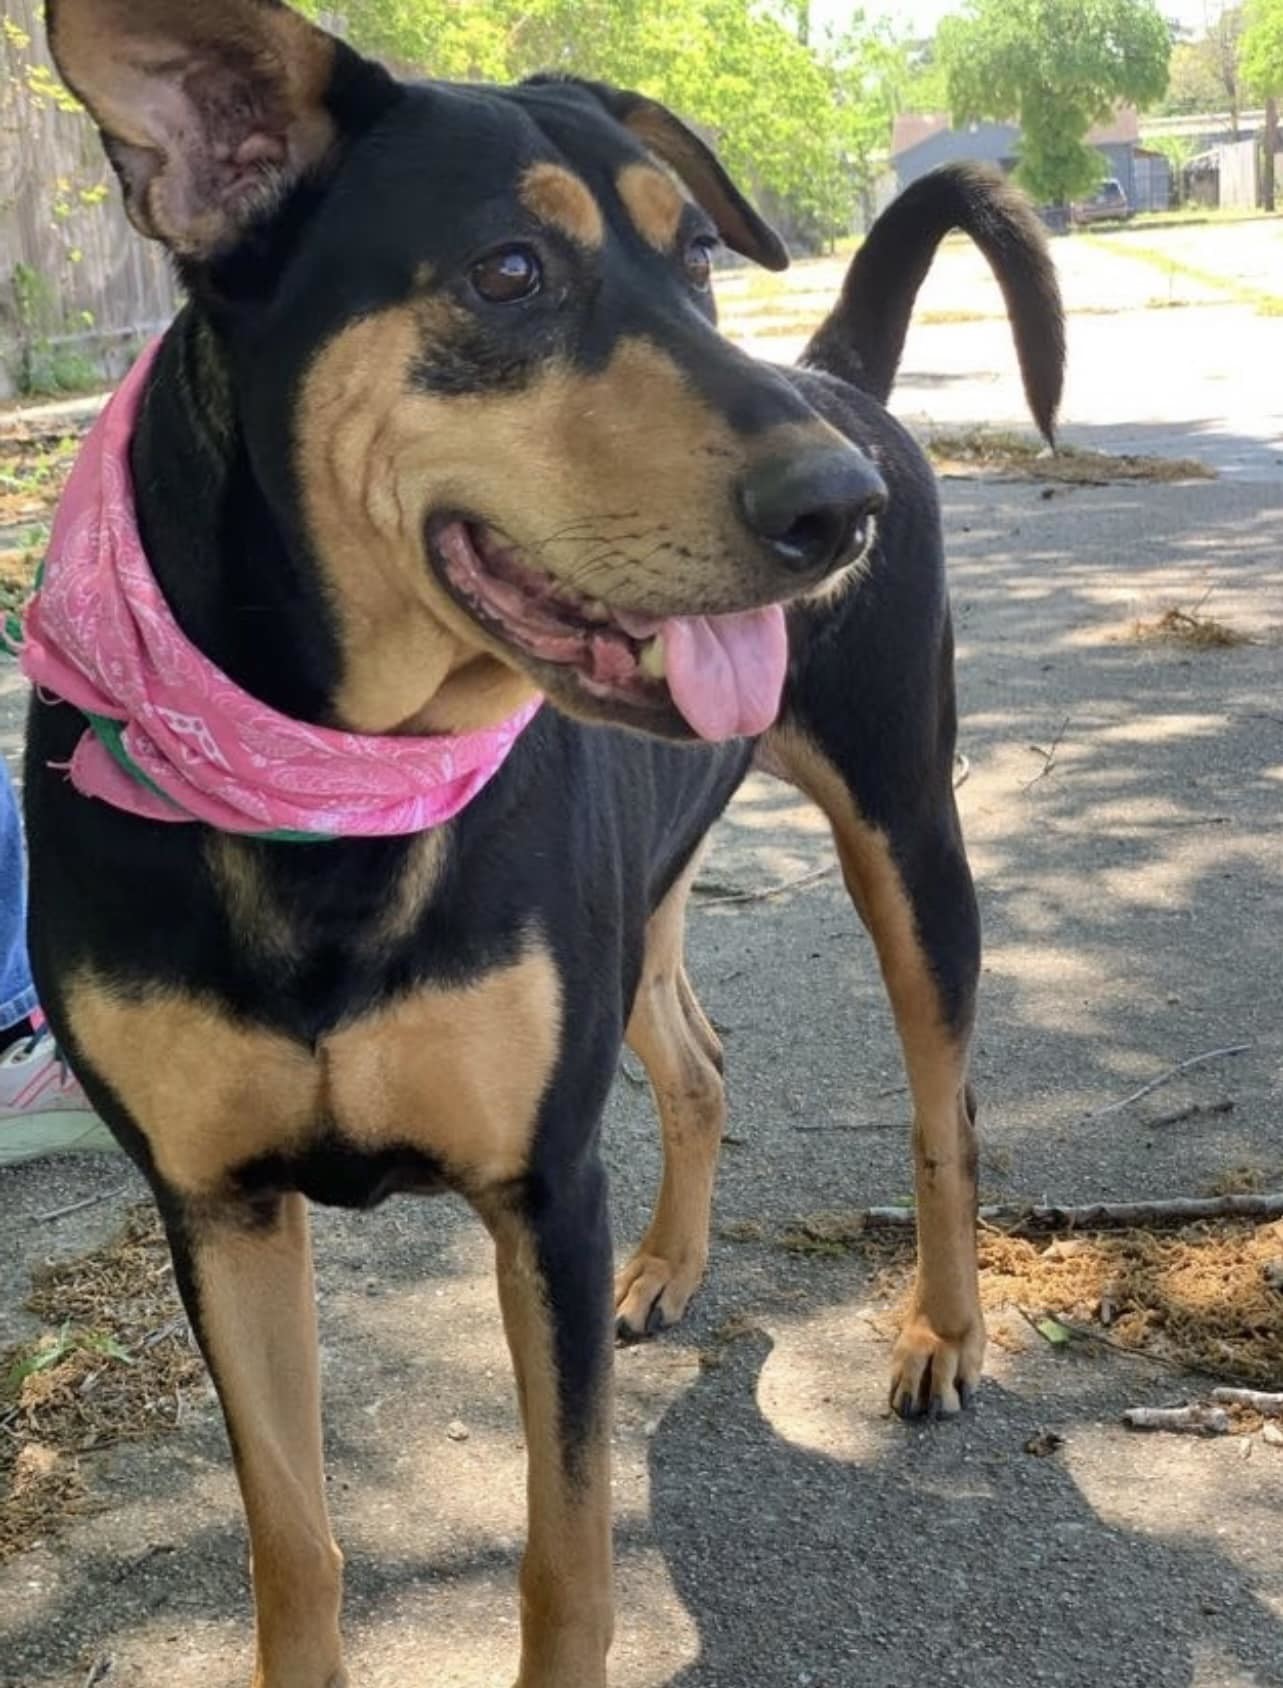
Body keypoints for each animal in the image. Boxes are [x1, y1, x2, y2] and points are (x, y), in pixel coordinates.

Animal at [27, 6, 1060, 1681]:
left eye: (696, 255)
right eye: (507, 270)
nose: (837, 511)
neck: (329, 787)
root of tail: (834, 381)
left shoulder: (540, 1194)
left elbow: (567, 1555)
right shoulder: (219, 1211)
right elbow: (293, 1546)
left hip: (906, 835)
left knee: (943, 1109)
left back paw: (940, 1333)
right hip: (640, 912)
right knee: (697, 1065)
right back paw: (672, 1265)